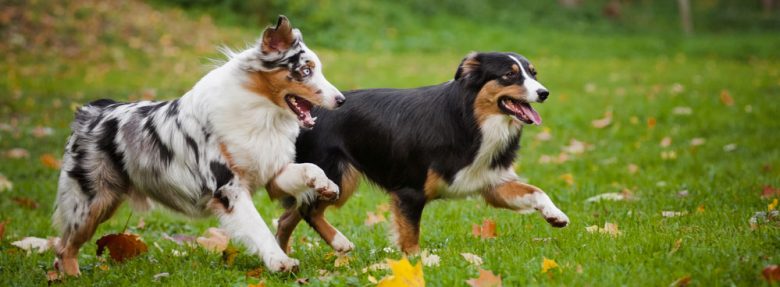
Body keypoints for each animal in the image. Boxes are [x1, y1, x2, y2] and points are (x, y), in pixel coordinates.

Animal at [272, 51, 568, 254]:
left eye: (533, 73)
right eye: (509, 75)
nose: (544, 93)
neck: (471, 119)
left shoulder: (490, 181)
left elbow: (536, 191)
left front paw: (556, 215)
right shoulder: (409, 191)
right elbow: (410, 237)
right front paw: (419, 264)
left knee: (287, 218)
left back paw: (284, 260)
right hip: (334, 176)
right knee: (308, 212)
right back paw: (339, 243)